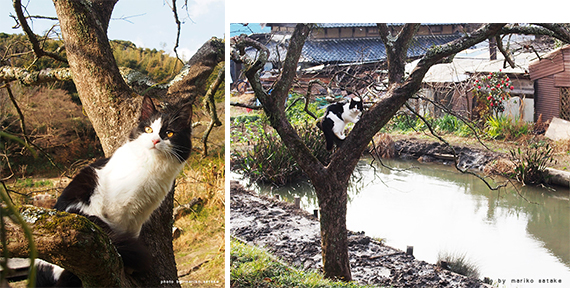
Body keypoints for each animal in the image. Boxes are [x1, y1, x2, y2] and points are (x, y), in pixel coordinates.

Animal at [35, 96, 192, 286]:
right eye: (148, 130)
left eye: (169, 133)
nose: (155, 141)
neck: (153, 167)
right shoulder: (117, 211)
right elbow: (121, 238)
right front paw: (126, 267)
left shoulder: (138, 216)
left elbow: (131, 236)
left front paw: (130, 269)